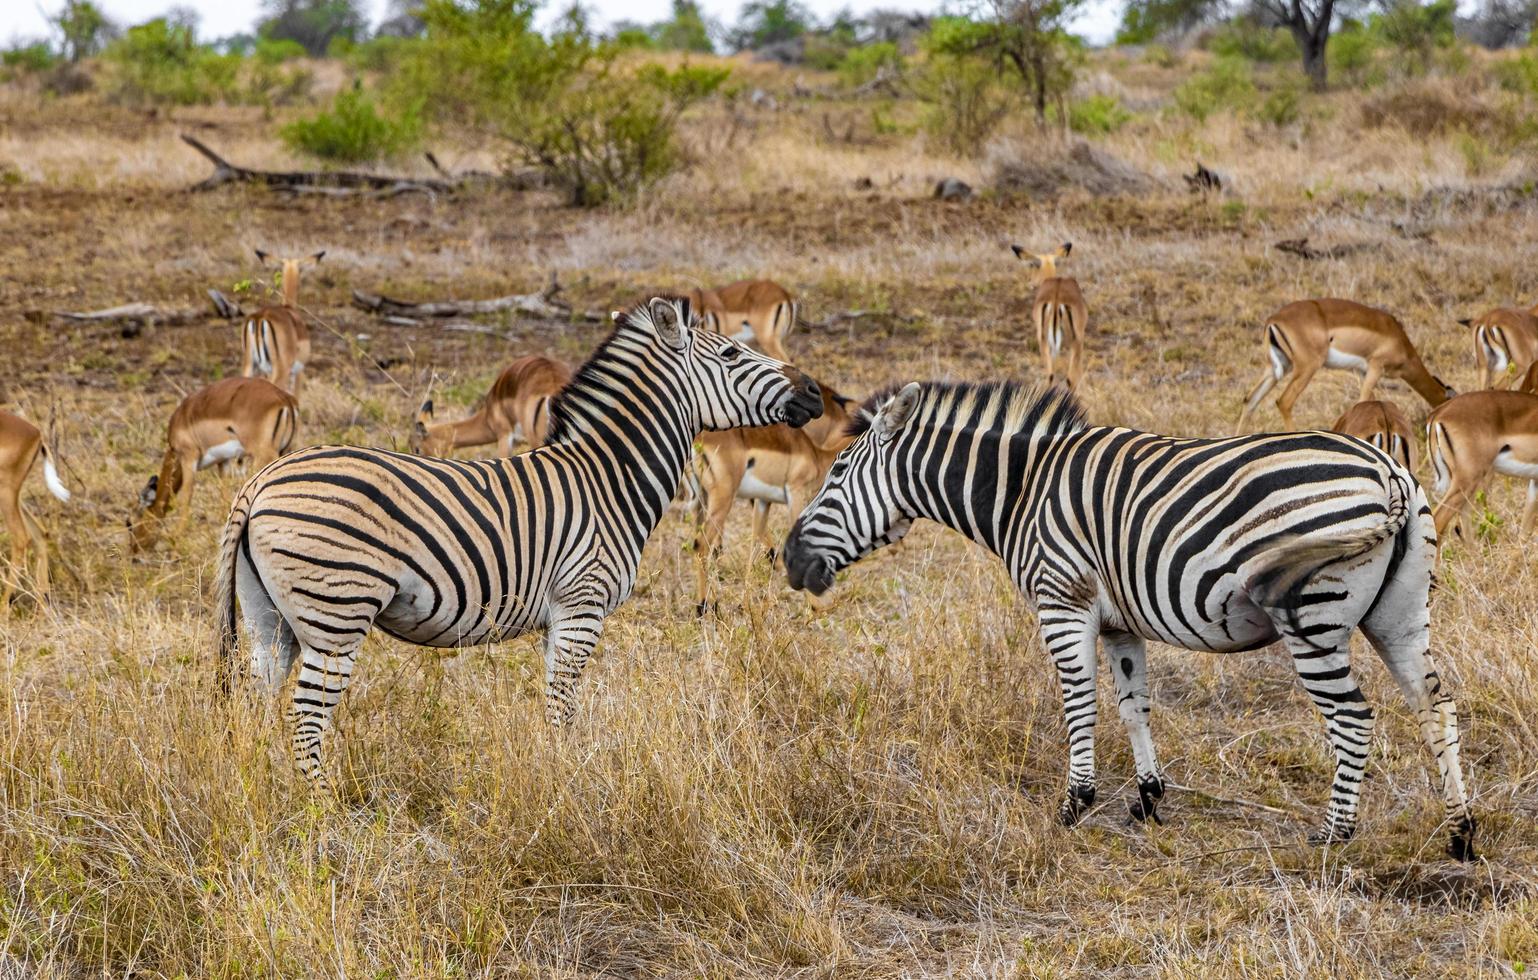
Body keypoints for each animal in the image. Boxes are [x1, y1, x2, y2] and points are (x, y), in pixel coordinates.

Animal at [213, 298, 830, 787]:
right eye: (730, 355)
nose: (815, 393)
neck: (607, 479)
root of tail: (261, 480)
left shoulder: (561, 615)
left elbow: (556, 704)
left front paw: (558, 776)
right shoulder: (583, 605)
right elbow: (562, 707)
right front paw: (568, 788)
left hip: (270, 617)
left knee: (258, 702)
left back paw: (264, 788)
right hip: (337, 612)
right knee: (307, 718)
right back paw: (327, 807)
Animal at [787, 380, 1470, 855]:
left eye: (837, 473)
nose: (786, 560)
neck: (1023, 491)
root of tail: (1390, 474)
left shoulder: (1062, 601)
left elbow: (1080, 705)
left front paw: (1073, 805)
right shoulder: (1119, 623)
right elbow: (1133, 705)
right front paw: (1147, 800)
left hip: (1314, 619)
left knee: (1353, 717)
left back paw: (1333, 835)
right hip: (1401, 615)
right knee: (1434, 704)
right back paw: (1460, 834)